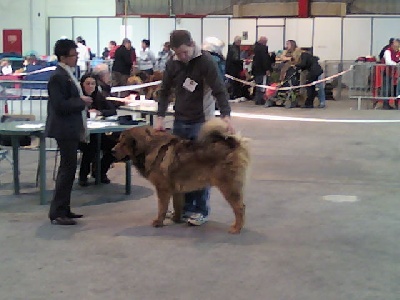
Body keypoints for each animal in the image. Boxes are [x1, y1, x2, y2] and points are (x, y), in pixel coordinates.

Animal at [112, 118, 250, 233]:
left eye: (124, 143)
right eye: (118, 141)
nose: (112, 151)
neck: (149, 147)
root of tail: (233, 144)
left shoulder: (163, 189)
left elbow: (161, 207)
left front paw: (159, 222)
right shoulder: (176, 190)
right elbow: (177, 205)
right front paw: (176, 218)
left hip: (228, 186)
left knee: (240, 208)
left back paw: (236, 228)